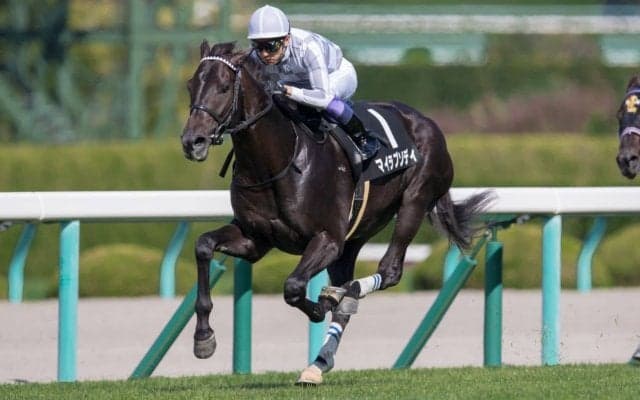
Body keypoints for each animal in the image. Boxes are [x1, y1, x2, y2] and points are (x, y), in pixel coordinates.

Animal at [180, 41, 493, 384]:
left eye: (224, 87)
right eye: (190, 86)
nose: (192, 141)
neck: (278, 162)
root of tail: (425, 120)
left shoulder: (327, 239)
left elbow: (293, 286)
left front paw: (319, 306)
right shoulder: (254, 239)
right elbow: (203, 246)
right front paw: (203, 338)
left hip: (415, 200)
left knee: (388, 272)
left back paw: (341, 297)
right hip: (356, 234)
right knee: (349, 288)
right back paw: (317, 363)